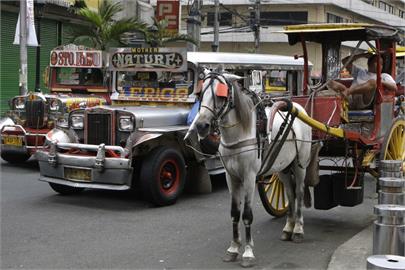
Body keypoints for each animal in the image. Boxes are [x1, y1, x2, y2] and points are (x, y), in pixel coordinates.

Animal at [191, 71, 310, 268]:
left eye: (221, 95)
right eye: (201, 93)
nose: (201, 126)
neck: (240, 132)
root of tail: (300, 108)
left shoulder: (249, 177)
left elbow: (246, 214)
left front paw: (247, 252)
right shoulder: (231, 178)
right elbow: (234, 213)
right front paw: (233, 248)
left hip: (300, 165)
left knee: (299, 193)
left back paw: (299, 229)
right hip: (284, 167)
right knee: (290, 193)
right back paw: (288, 227)